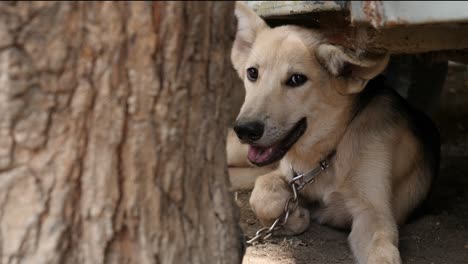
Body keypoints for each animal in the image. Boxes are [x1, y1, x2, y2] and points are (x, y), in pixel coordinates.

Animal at [229, 2, 440, 264]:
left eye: (297, 79)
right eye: (252, 73)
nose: (246, 129)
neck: (329, 152)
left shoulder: (373, 213)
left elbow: (381, 252)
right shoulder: (285, 173)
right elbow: (261, 194)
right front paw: (293, 216)